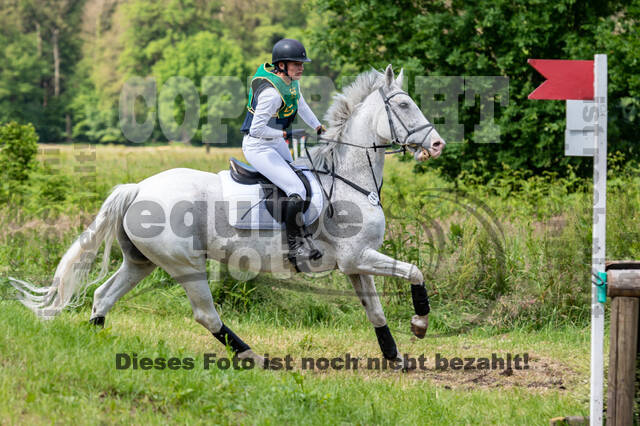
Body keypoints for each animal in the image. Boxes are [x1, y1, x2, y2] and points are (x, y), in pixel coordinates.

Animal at [9, 65, 445, 370]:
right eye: (404, 105)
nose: (437, 145)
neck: (349, 179)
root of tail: (138, 188)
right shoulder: (359, 257)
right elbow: (415, 271)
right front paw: (420, 324)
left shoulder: (356, 263)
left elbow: (376, 311)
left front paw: (395, 356)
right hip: (185, 264)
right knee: (205, 314)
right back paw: (254, 357)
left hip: (141, 261)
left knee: (104, 295)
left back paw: (96, 343)